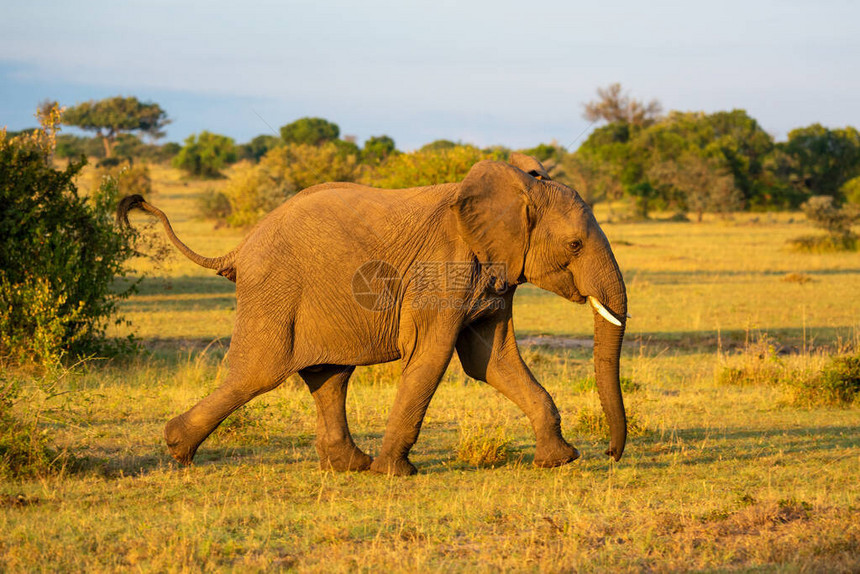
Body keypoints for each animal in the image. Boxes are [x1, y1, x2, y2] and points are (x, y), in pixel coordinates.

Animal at [117, 152, 628, 476]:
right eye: (575, 245)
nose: (610, 454)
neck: (516, 189)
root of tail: (240, 247)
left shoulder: (494, 273)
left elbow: (492, 362)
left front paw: (560, 461)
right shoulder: (443, 271)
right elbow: (432, 357)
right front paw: (396, 474)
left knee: (329, 376)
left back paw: (351, 466)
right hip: (273, 290)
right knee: (257, 373)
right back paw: (177, 449)